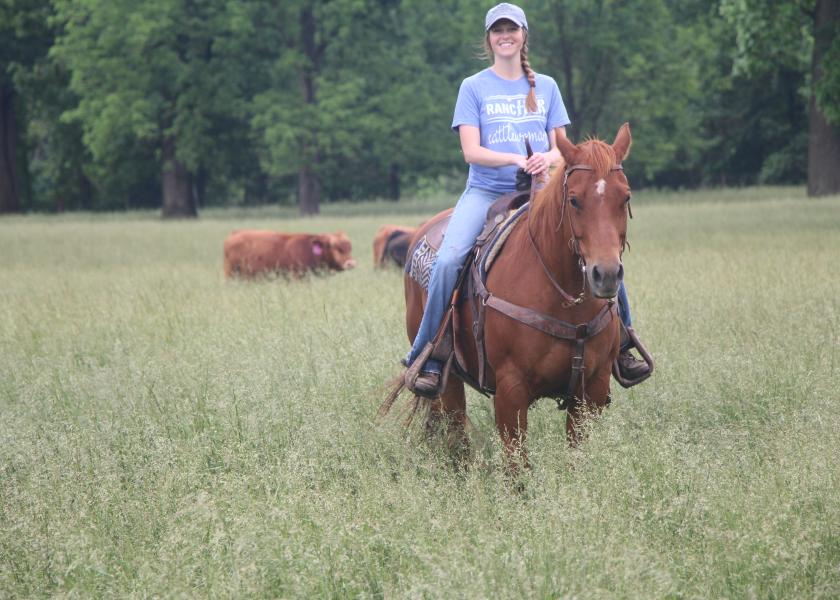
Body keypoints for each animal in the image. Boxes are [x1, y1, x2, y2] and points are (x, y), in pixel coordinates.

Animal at [384, 120, 632, 460]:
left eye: (626, 198)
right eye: (574, 199)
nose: (605, 274)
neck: (565, 301)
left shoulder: (591, 391)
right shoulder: (511, 391)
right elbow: (517, 466)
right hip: (447, 380)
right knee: (456, 438)